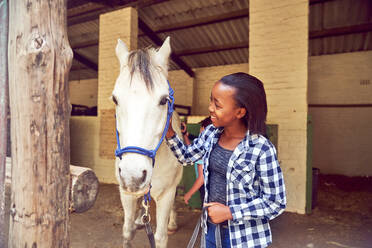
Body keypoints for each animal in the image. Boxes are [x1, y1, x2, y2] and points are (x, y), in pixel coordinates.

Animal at [112, 37, 184, 248]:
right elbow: (127, 231)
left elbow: (160, 237)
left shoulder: (167, 194)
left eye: (163, 100)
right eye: (115, 99)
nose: (133, 176)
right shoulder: (125, 193)